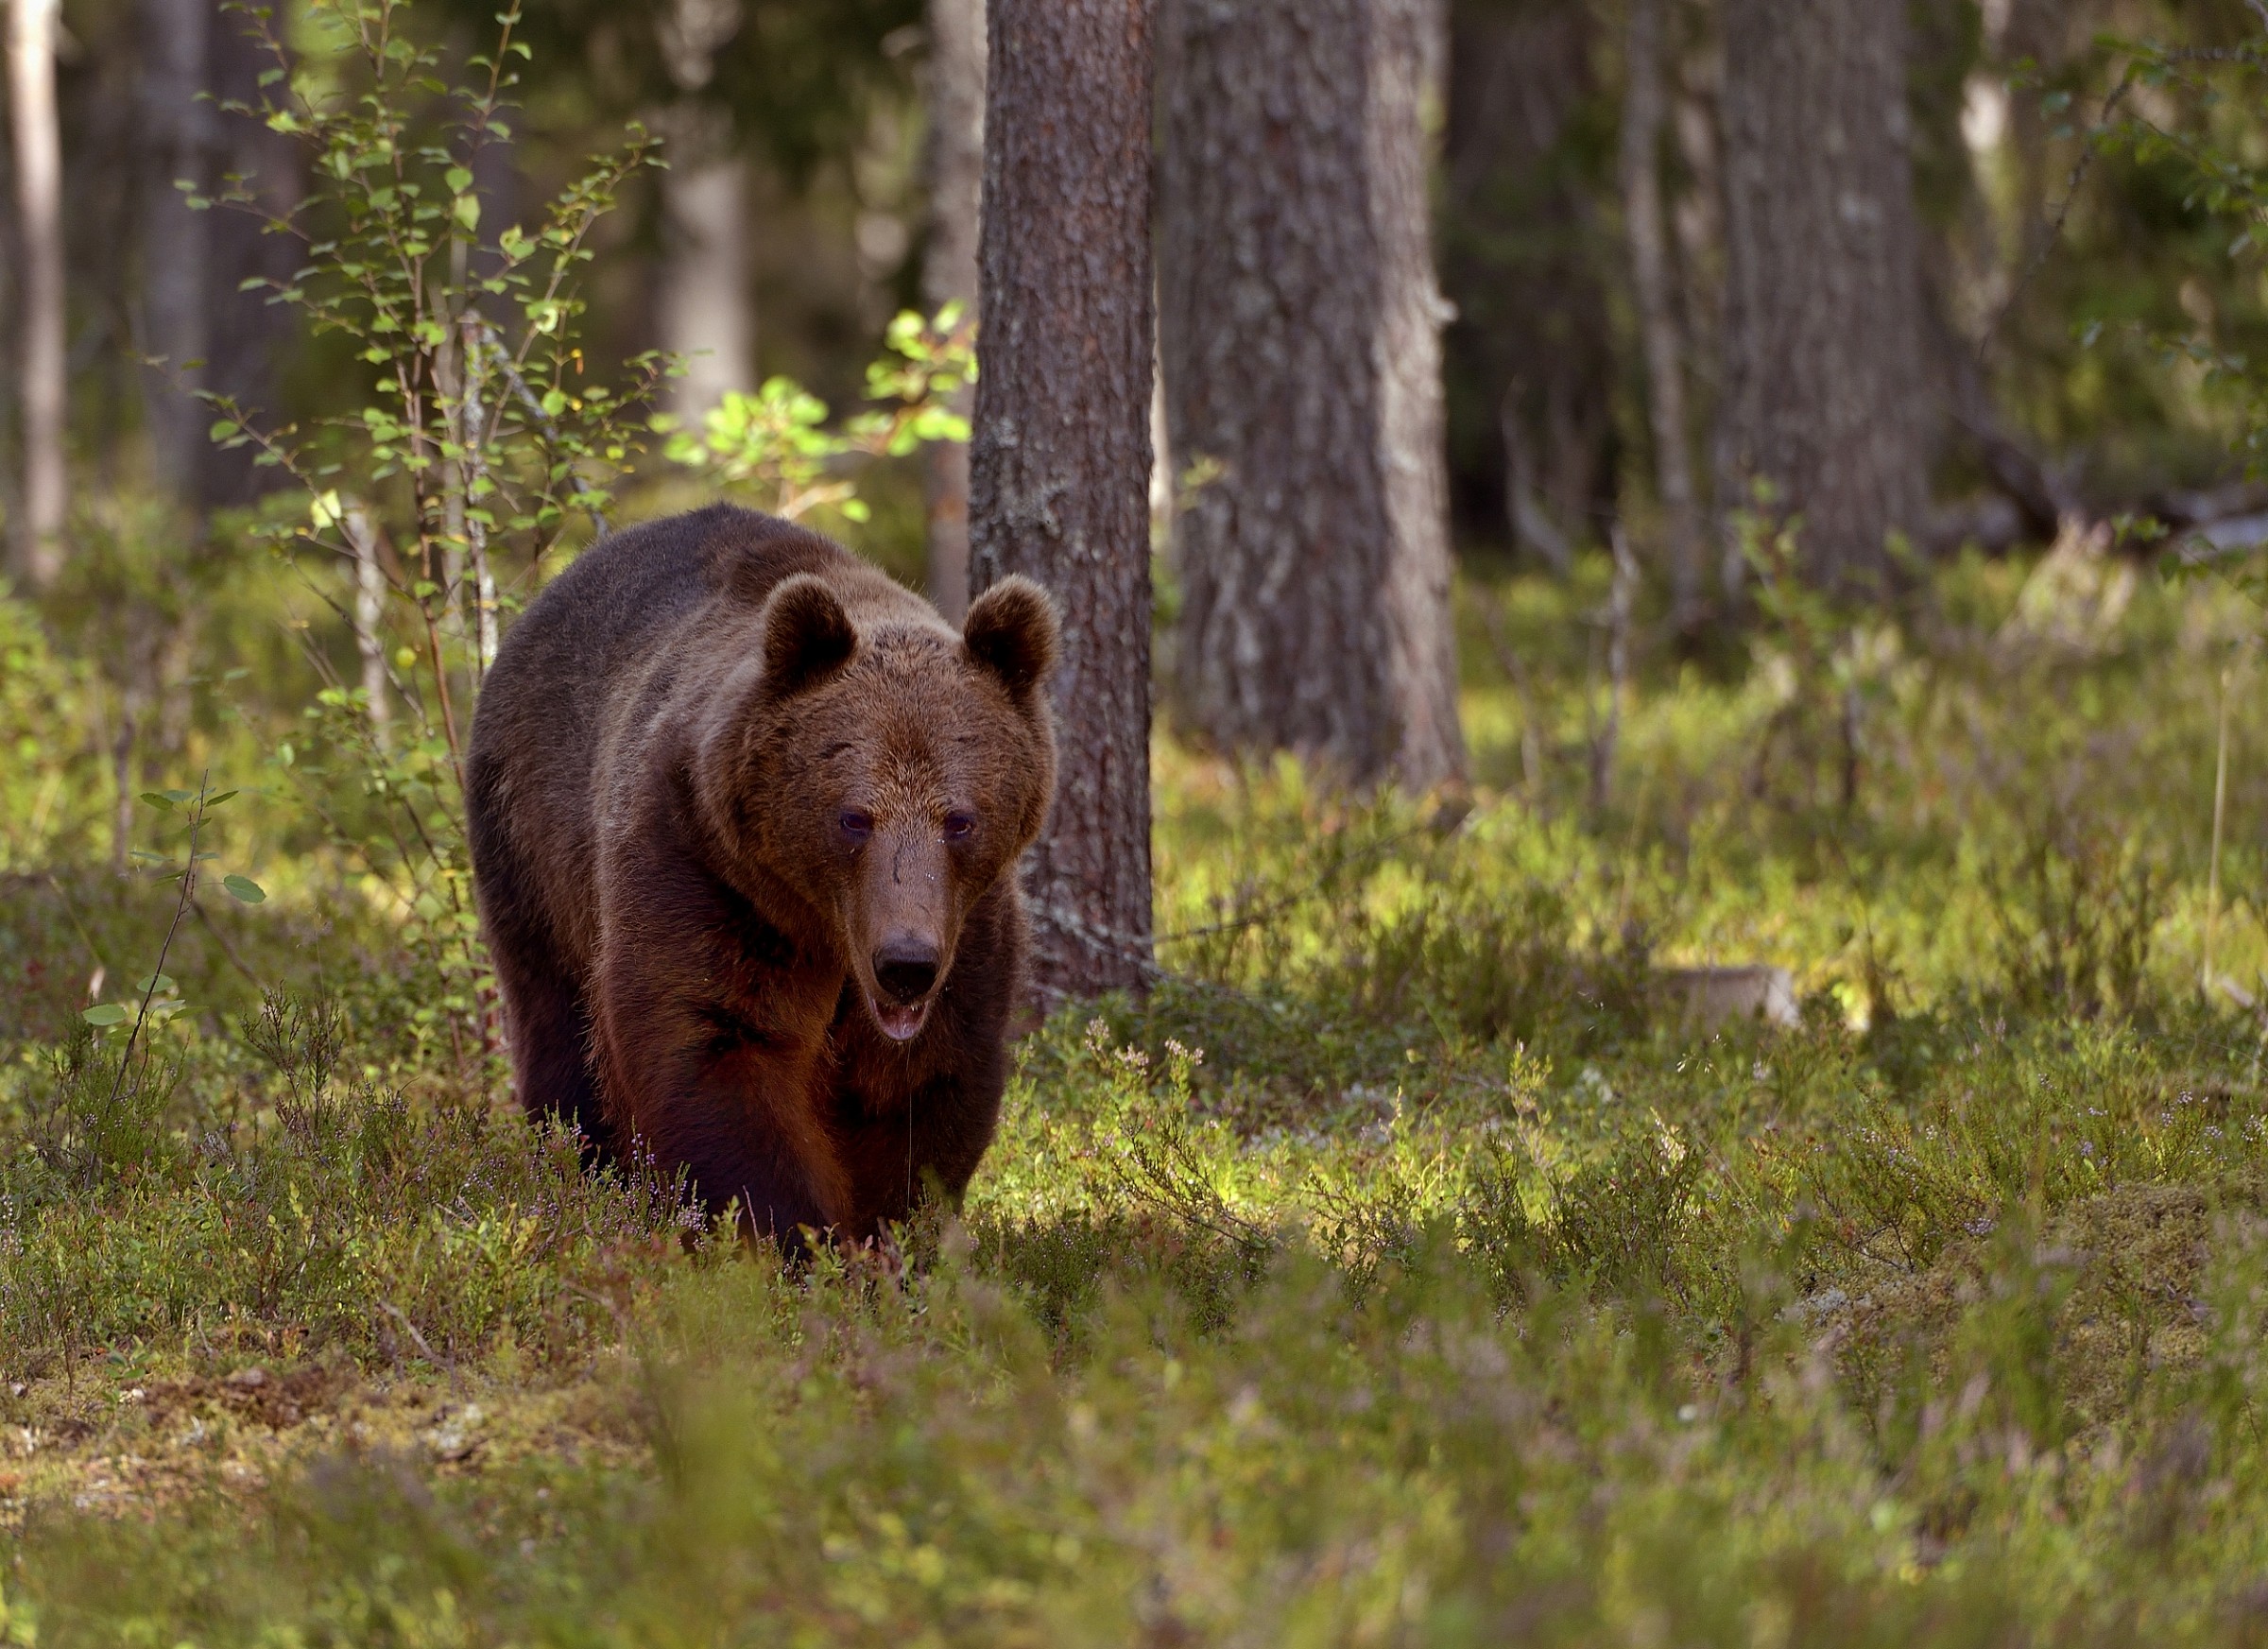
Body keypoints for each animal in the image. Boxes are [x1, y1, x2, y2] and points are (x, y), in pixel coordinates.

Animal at [465, 503, 1059, 1246]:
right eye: (854, 817)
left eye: (959, 819)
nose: (905, 964)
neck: (826, 932)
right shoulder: (707, 870)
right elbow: (717, 1046)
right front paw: (790, 1237)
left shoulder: (968, 926)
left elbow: (921, 1084)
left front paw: (887, 1236)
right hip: (531, 846)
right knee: (559, 1032)